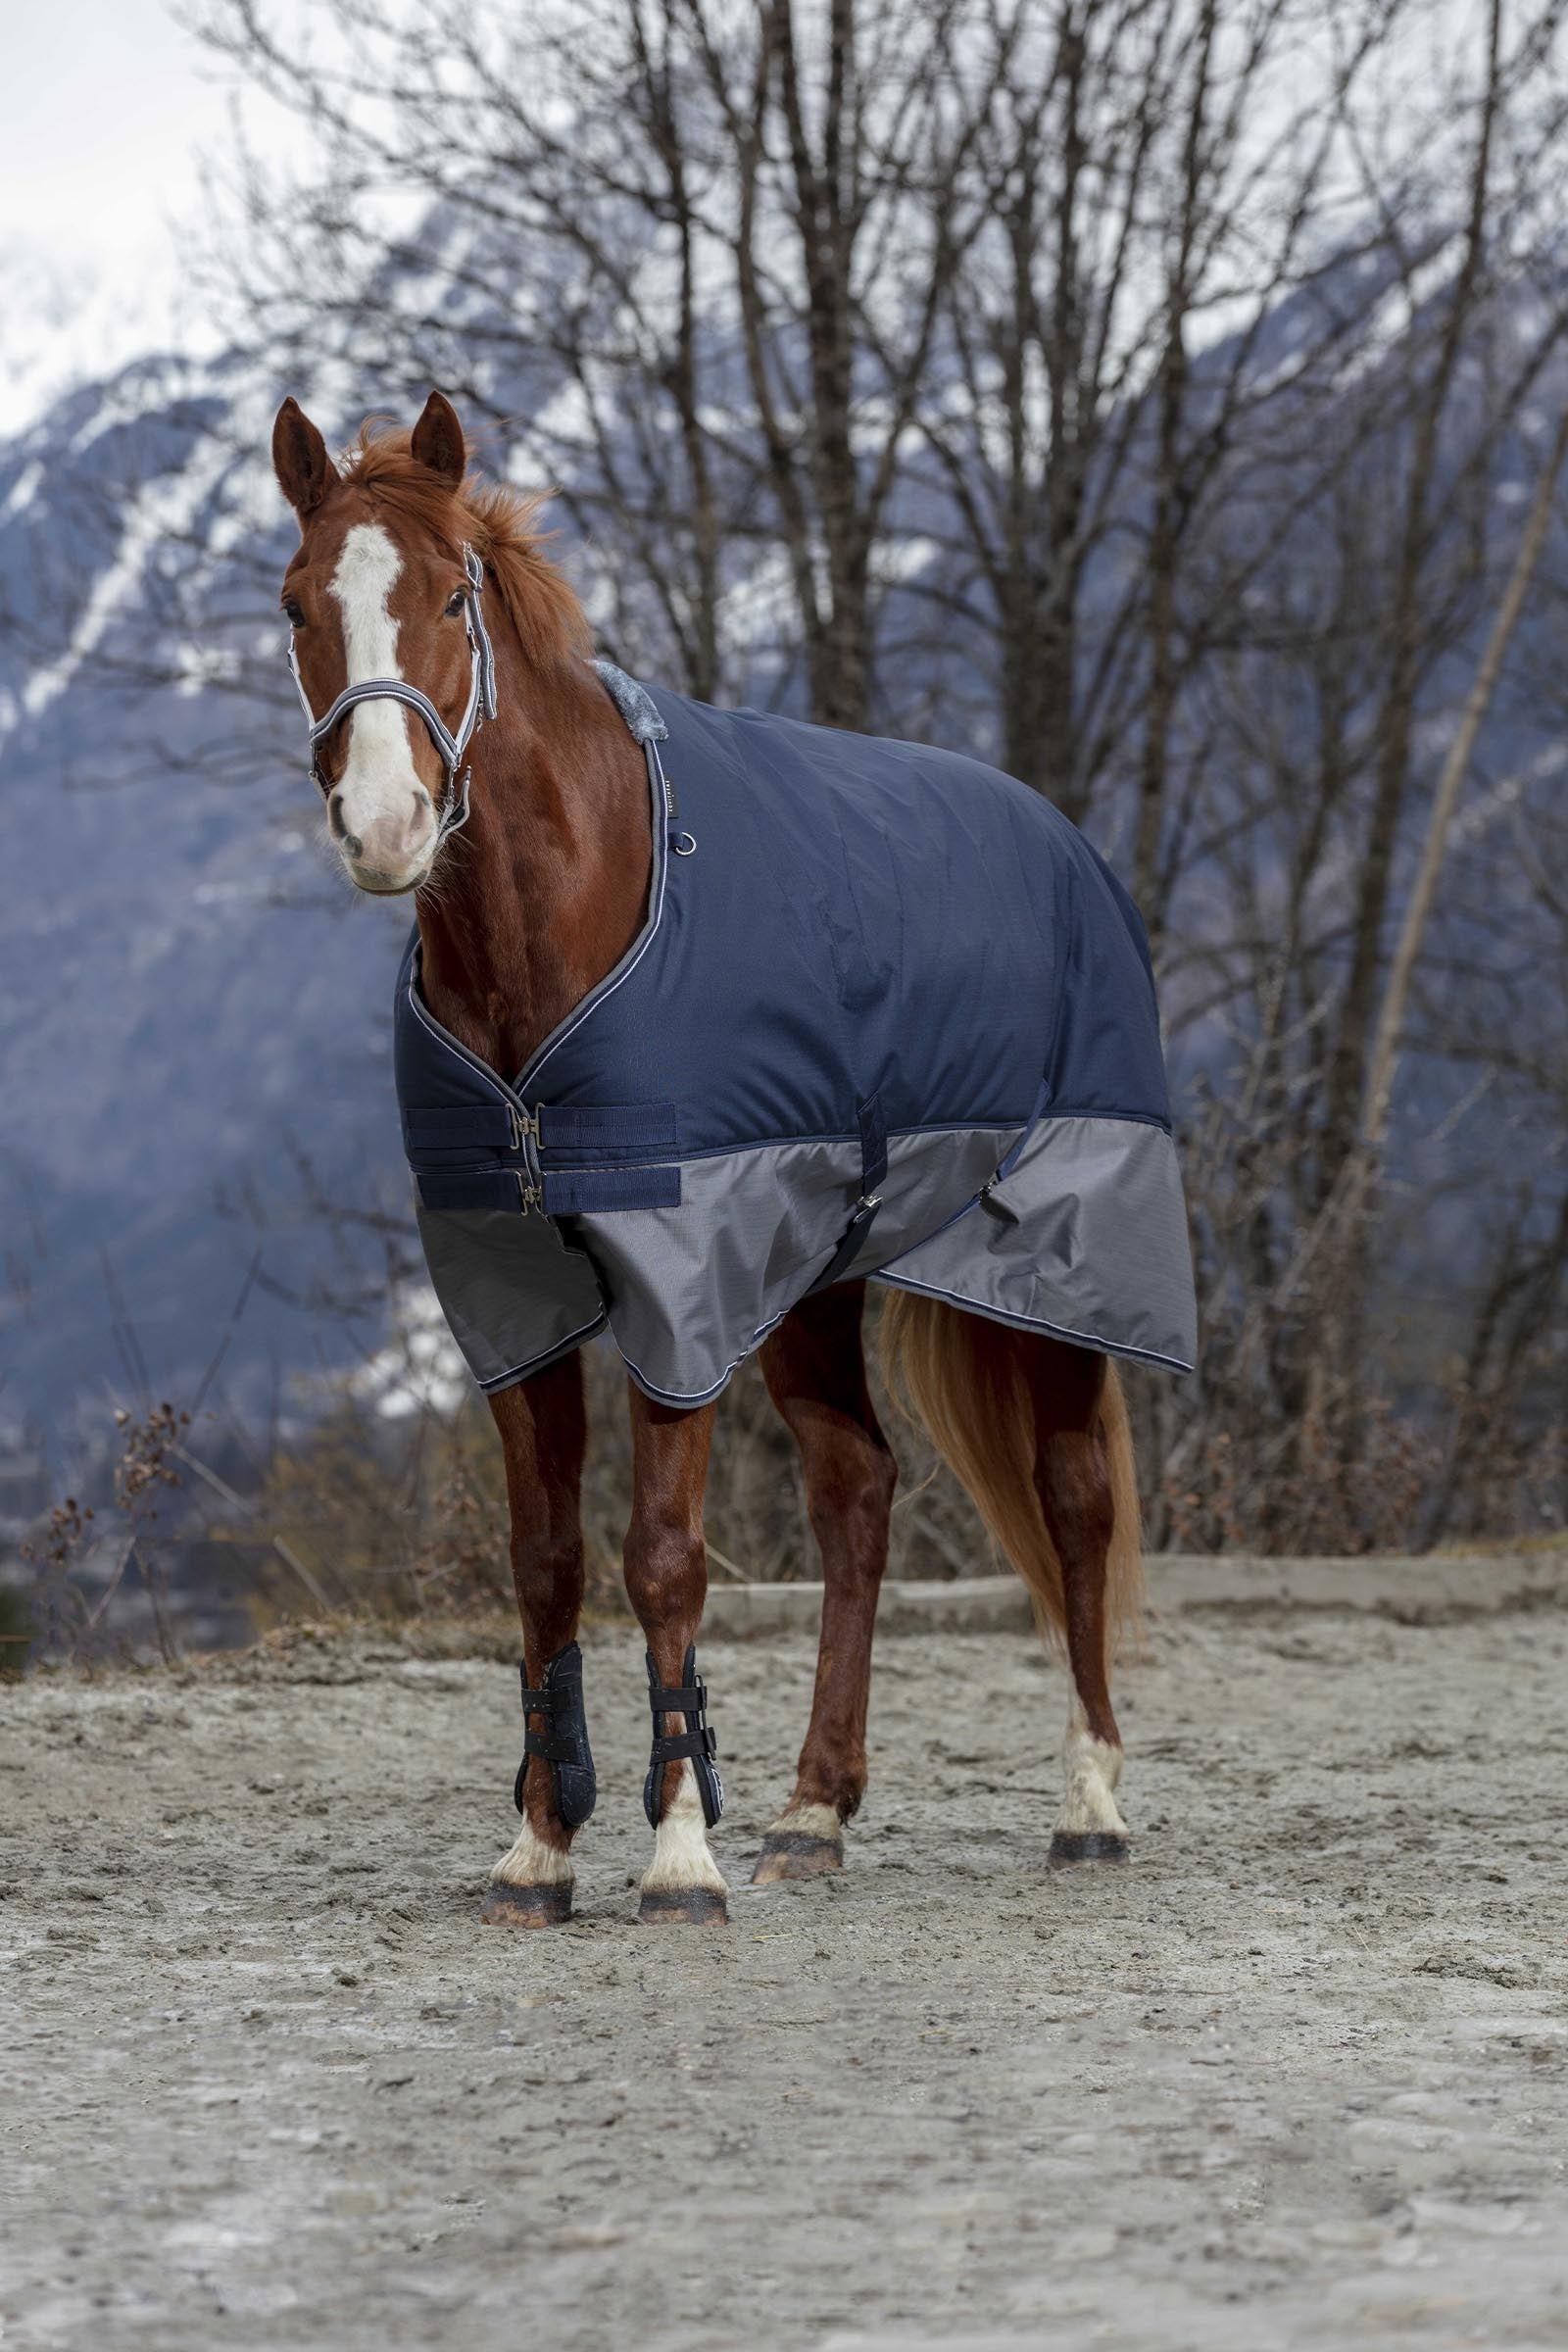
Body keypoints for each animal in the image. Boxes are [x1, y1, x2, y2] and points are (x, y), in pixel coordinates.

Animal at [269, 388, 1190, 1926]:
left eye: (453, 596)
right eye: (297, 607)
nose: (385, 828)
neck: (566, 928)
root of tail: (1062, 840)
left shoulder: (681, 1278)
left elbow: (660, 1559)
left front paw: (677, 1855)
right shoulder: (511, 1291)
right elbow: (545, 1563)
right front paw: (543, 1848)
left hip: (1061, 1267)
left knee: (1074, 1504)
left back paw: (1093, 1804)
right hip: (817, 1276)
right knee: (856, 1493)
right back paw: (814, 1810)